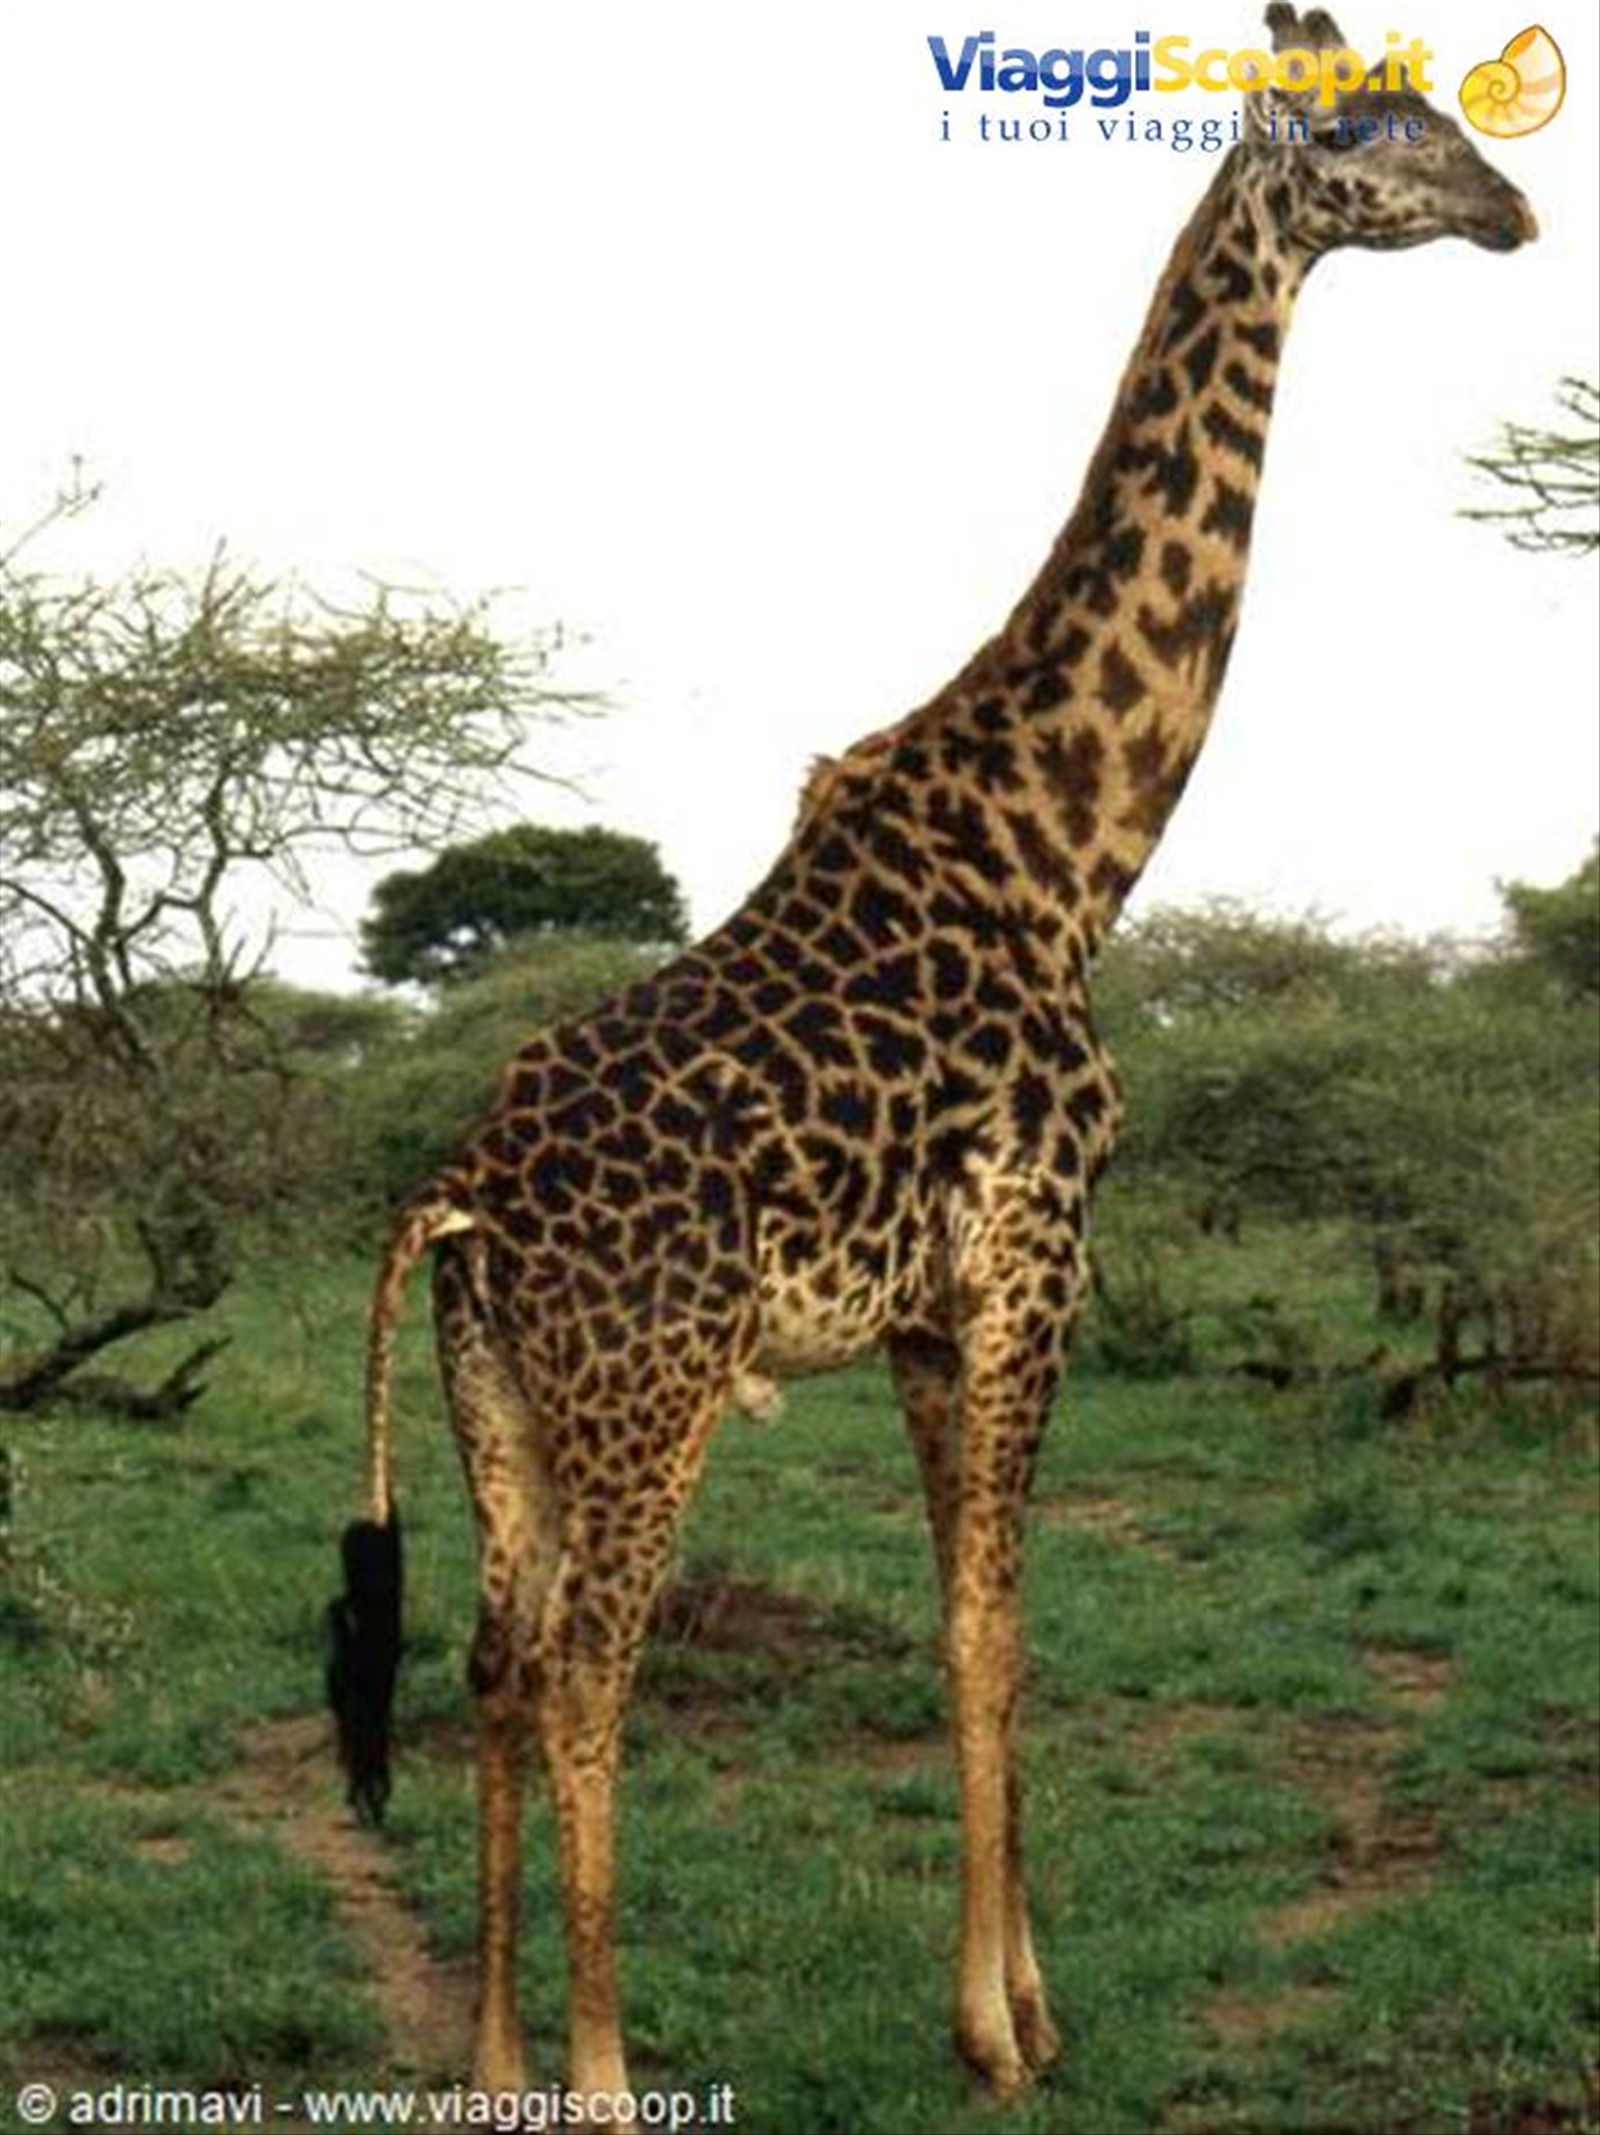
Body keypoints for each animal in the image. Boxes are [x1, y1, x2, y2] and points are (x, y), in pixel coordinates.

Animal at [329, 8, 1535, 2108]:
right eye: (1377, 129)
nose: (1517, 207)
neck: (1072, 847)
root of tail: (457, 1200)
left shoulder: (920, 1312)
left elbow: (984, 1621)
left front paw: (1025, 1999)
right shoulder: (1040, 1253)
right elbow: (990, 1630)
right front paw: (997, 2034)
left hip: (503, 1414)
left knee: (489, 1657)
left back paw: (490, 2066)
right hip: (650, 1399)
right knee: (587, 1669)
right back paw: (603, 2078)